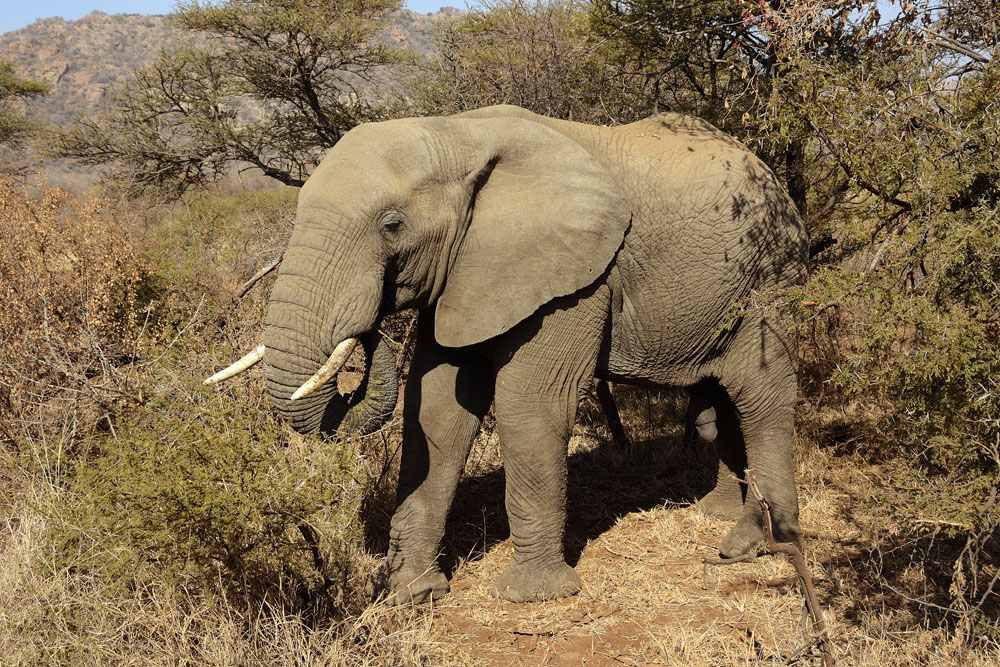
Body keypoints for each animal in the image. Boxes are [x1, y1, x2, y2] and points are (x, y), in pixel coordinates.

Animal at [206, 104, 808, 604]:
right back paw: (715, 515)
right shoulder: (463, 272)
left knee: (761, 397)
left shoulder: (574, 280)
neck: (457, 135)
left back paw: (749, 545)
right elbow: (437, 411)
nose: (369, 328)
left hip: (769, 277)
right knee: (723, 400)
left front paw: (534, 596)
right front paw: (411, 595)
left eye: (392, 225)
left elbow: (531, 406)